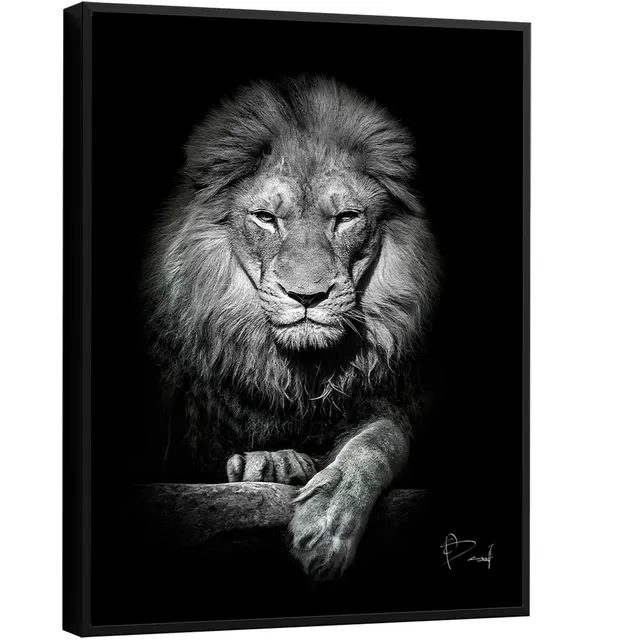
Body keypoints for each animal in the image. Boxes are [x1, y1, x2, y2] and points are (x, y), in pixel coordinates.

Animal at [142, 76, 440, 580]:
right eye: (266, 218)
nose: (307, 297)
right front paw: (271, 463)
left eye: (346, 217)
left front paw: (327, 522)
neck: (296, 373)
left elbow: (378, 442)